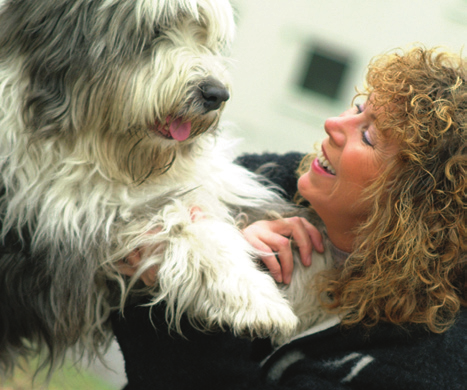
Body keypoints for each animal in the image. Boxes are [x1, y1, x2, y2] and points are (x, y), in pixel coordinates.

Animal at [0, 0, 330, 374]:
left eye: (202, 34)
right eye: (155, 31)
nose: (216, 94)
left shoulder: (218, 185)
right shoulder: (76, 228)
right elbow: (183, 227)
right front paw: (258, 302)